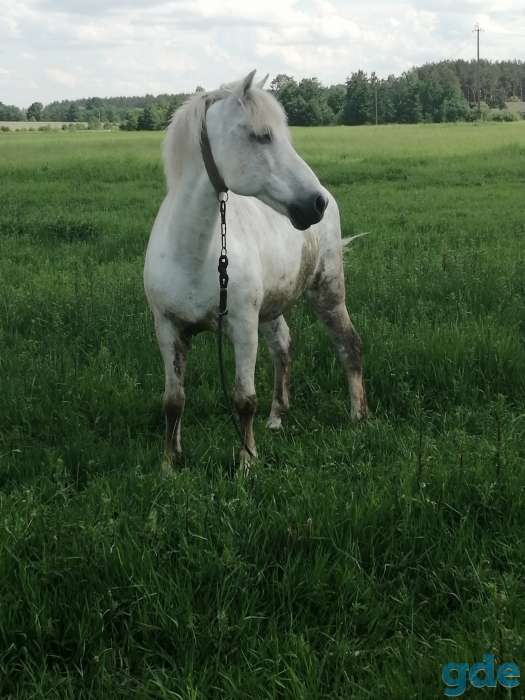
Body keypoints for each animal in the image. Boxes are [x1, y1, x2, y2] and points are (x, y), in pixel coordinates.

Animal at [144, 70, 367, 468]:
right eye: (262, 135)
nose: (316, 203)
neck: (195, 254)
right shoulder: (167, 328)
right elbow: (173, 401)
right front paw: (170, 462)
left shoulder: (242, 327)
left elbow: (244, 399)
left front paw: (247, 461)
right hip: (271, 309)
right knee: (283, 347)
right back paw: (277, 417)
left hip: (327, 291)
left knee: (348, 345)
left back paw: (358, 416)